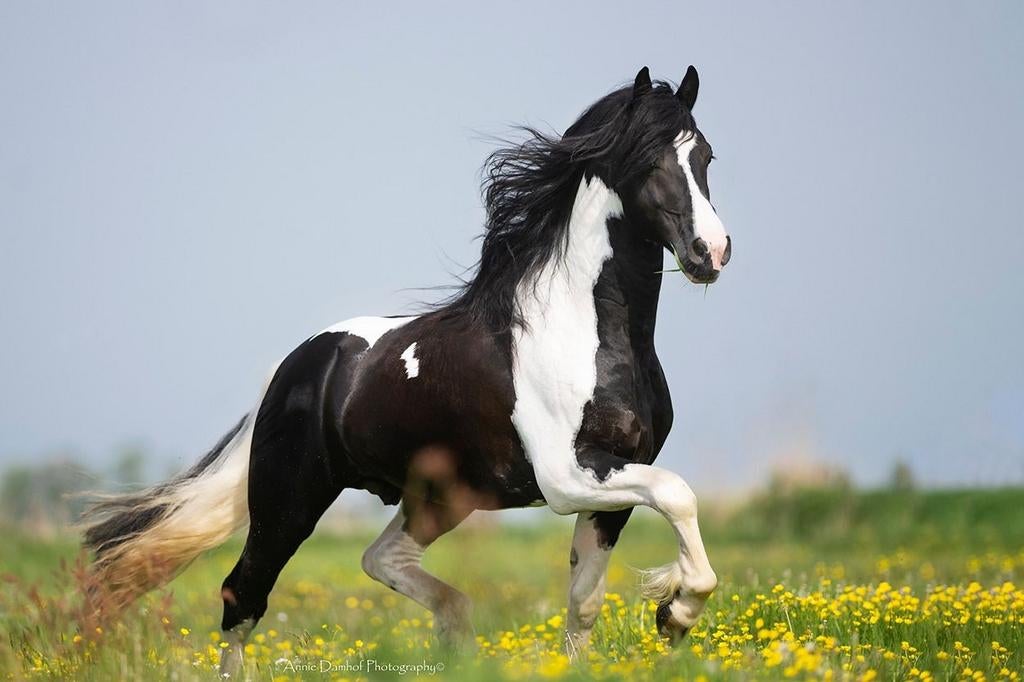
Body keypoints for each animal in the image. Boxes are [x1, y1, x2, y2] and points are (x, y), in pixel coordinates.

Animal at [81, 65, 731, 676]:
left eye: (705, 156)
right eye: (649, 160)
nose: (711, 252)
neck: (589, 336)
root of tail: (295, 365)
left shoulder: (611, 487)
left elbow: (585, 600)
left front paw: (663, 615)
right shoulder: (567, 479)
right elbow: (678, 494)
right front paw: (674, 613)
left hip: (438, 498)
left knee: (382, 559)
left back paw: (456, 628)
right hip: (288, 498)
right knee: (244, 596)